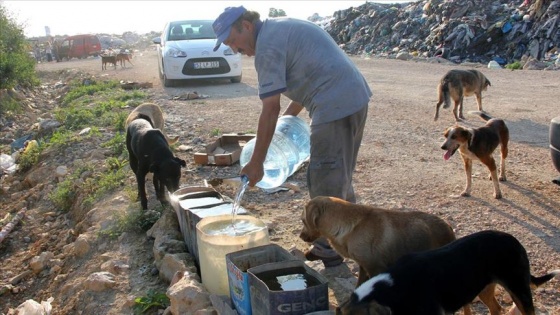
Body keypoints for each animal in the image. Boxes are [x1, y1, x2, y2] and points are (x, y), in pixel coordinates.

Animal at [300, 199, 458, 288]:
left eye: (303, 220)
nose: (300, 236)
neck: (351, 227)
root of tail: (449, 227)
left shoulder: (376, 268)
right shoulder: (364, 267)